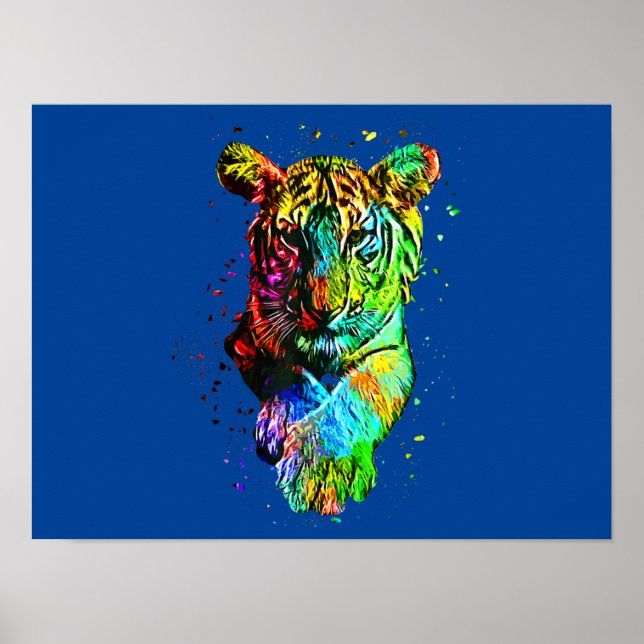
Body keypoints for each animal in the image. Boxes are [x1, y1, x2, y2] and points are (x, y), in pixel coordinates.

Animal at [216, 141, 441, 515]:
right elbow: (289, 374)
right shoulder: (248, 334)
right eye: (292, 237)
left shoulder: (391, 349)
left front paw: (322, 471)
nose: (324, 311)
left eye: (358, 236)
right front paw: (286, 432)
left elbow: (361, 392)